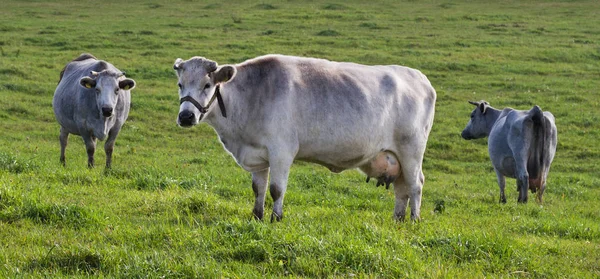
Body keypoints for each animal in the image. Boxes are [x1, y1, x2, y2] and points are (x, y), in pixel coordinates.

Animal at [173, 54, 436, 221]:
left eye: (207, 85)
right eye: (180, 84)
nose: (186, 116)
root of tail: (419, 77)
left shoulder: (282, 151)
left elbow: (276, 189)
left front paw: (276, 219)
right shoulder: (257, 156)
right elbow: (258, 189)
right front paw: (257, 217)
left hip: (411, 151)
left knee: (416, 185)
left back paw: (414, 220)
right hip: (396, 157)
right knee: (402, 189)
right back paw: (398, 220)